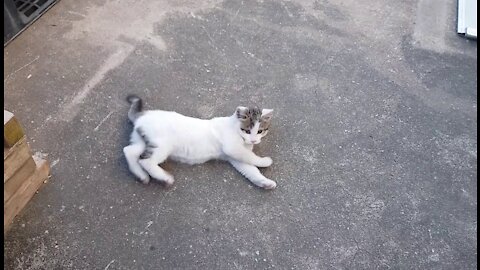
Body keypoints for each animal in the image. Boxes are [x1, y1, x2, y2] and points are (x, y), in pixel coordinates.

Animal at [122, 95, 276, 190]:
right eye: (247, 131)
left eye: (260, 131)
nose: (254, 140)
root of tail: (142, 115)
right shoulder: (233, 149)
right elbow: (251, 157)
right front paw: (266, 161)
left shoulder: (235, 157)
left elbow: (252, 171)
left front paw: (265, 182)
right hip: (162, 146)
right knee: (146, 161)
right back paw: (165, 178)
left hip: (143, 142)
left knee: (129, 151)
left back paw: (141, 176)